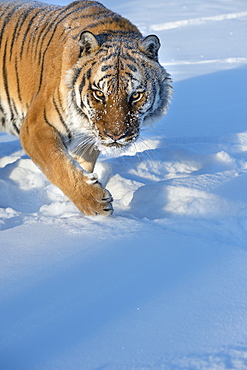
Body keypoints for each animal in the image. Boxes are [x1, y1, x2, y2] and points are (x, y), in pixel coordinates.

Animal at [0, 0, 172, 215]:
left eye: (135, 95)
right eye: (99, 93)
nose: (116, 136)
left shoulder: (88, 140)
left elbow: (79, 164)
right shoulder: (36, 127)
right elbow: (59, 165)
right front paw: (95, 202)